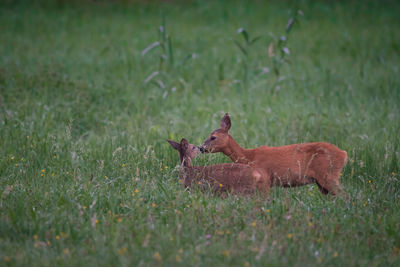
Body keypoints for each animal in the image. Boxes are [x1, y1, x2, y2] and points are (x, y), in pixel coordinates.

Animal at [200, 113, 346, 197]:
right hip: (322, 181)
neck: (249, 157)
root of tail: (344, 154)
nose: (201, 148)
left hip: (328, 175)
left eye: (213, 137)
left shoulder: (265, 177)